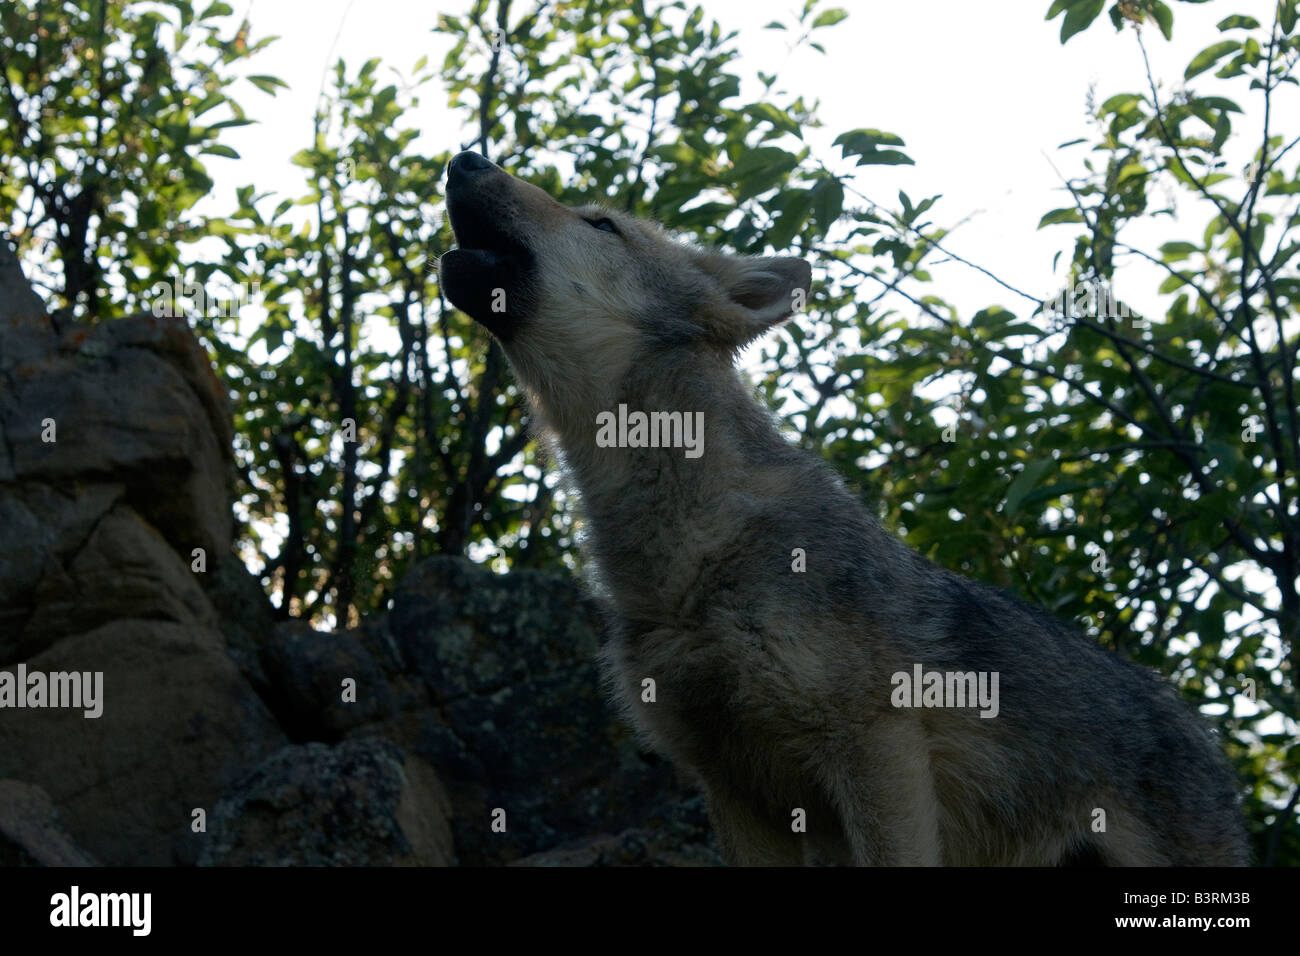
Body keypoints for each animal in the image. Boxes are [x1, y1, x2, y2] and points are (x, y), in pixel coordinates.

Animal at [441, 149, 1253, 868]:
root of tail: (1212, 745)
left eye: (600, 223)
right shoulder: (735, 792)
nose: (464, 158)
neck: (690, 546)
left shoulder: (876, 748)